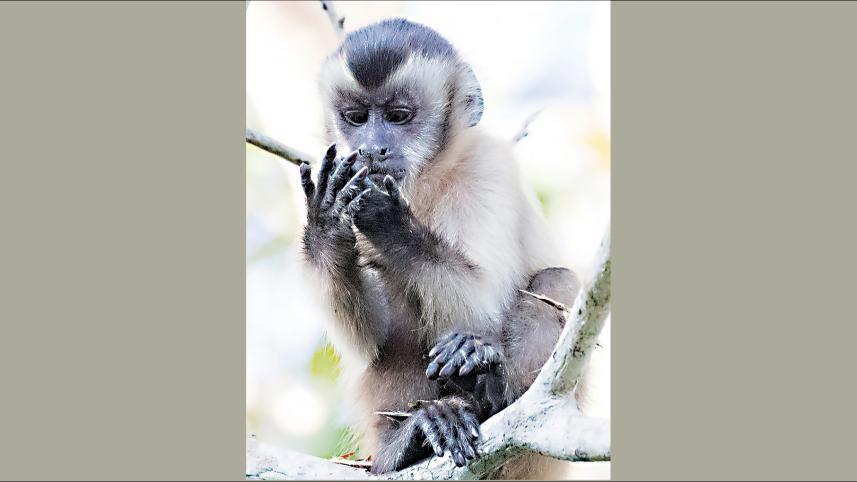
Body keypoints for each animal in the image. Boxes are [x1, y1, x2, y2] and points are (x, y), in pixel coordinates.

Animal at [298, 18, 585, 478]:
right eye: (356, 118)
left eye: (398, 116)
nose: (373, 148)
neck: (427, 180)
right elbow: (368, 340)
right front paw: (326, 218)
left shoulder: (488, 166)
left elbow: (483, 302)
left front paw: (388, 220)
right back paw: (408, 442)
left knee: (555, 280)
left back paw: (493, 391)